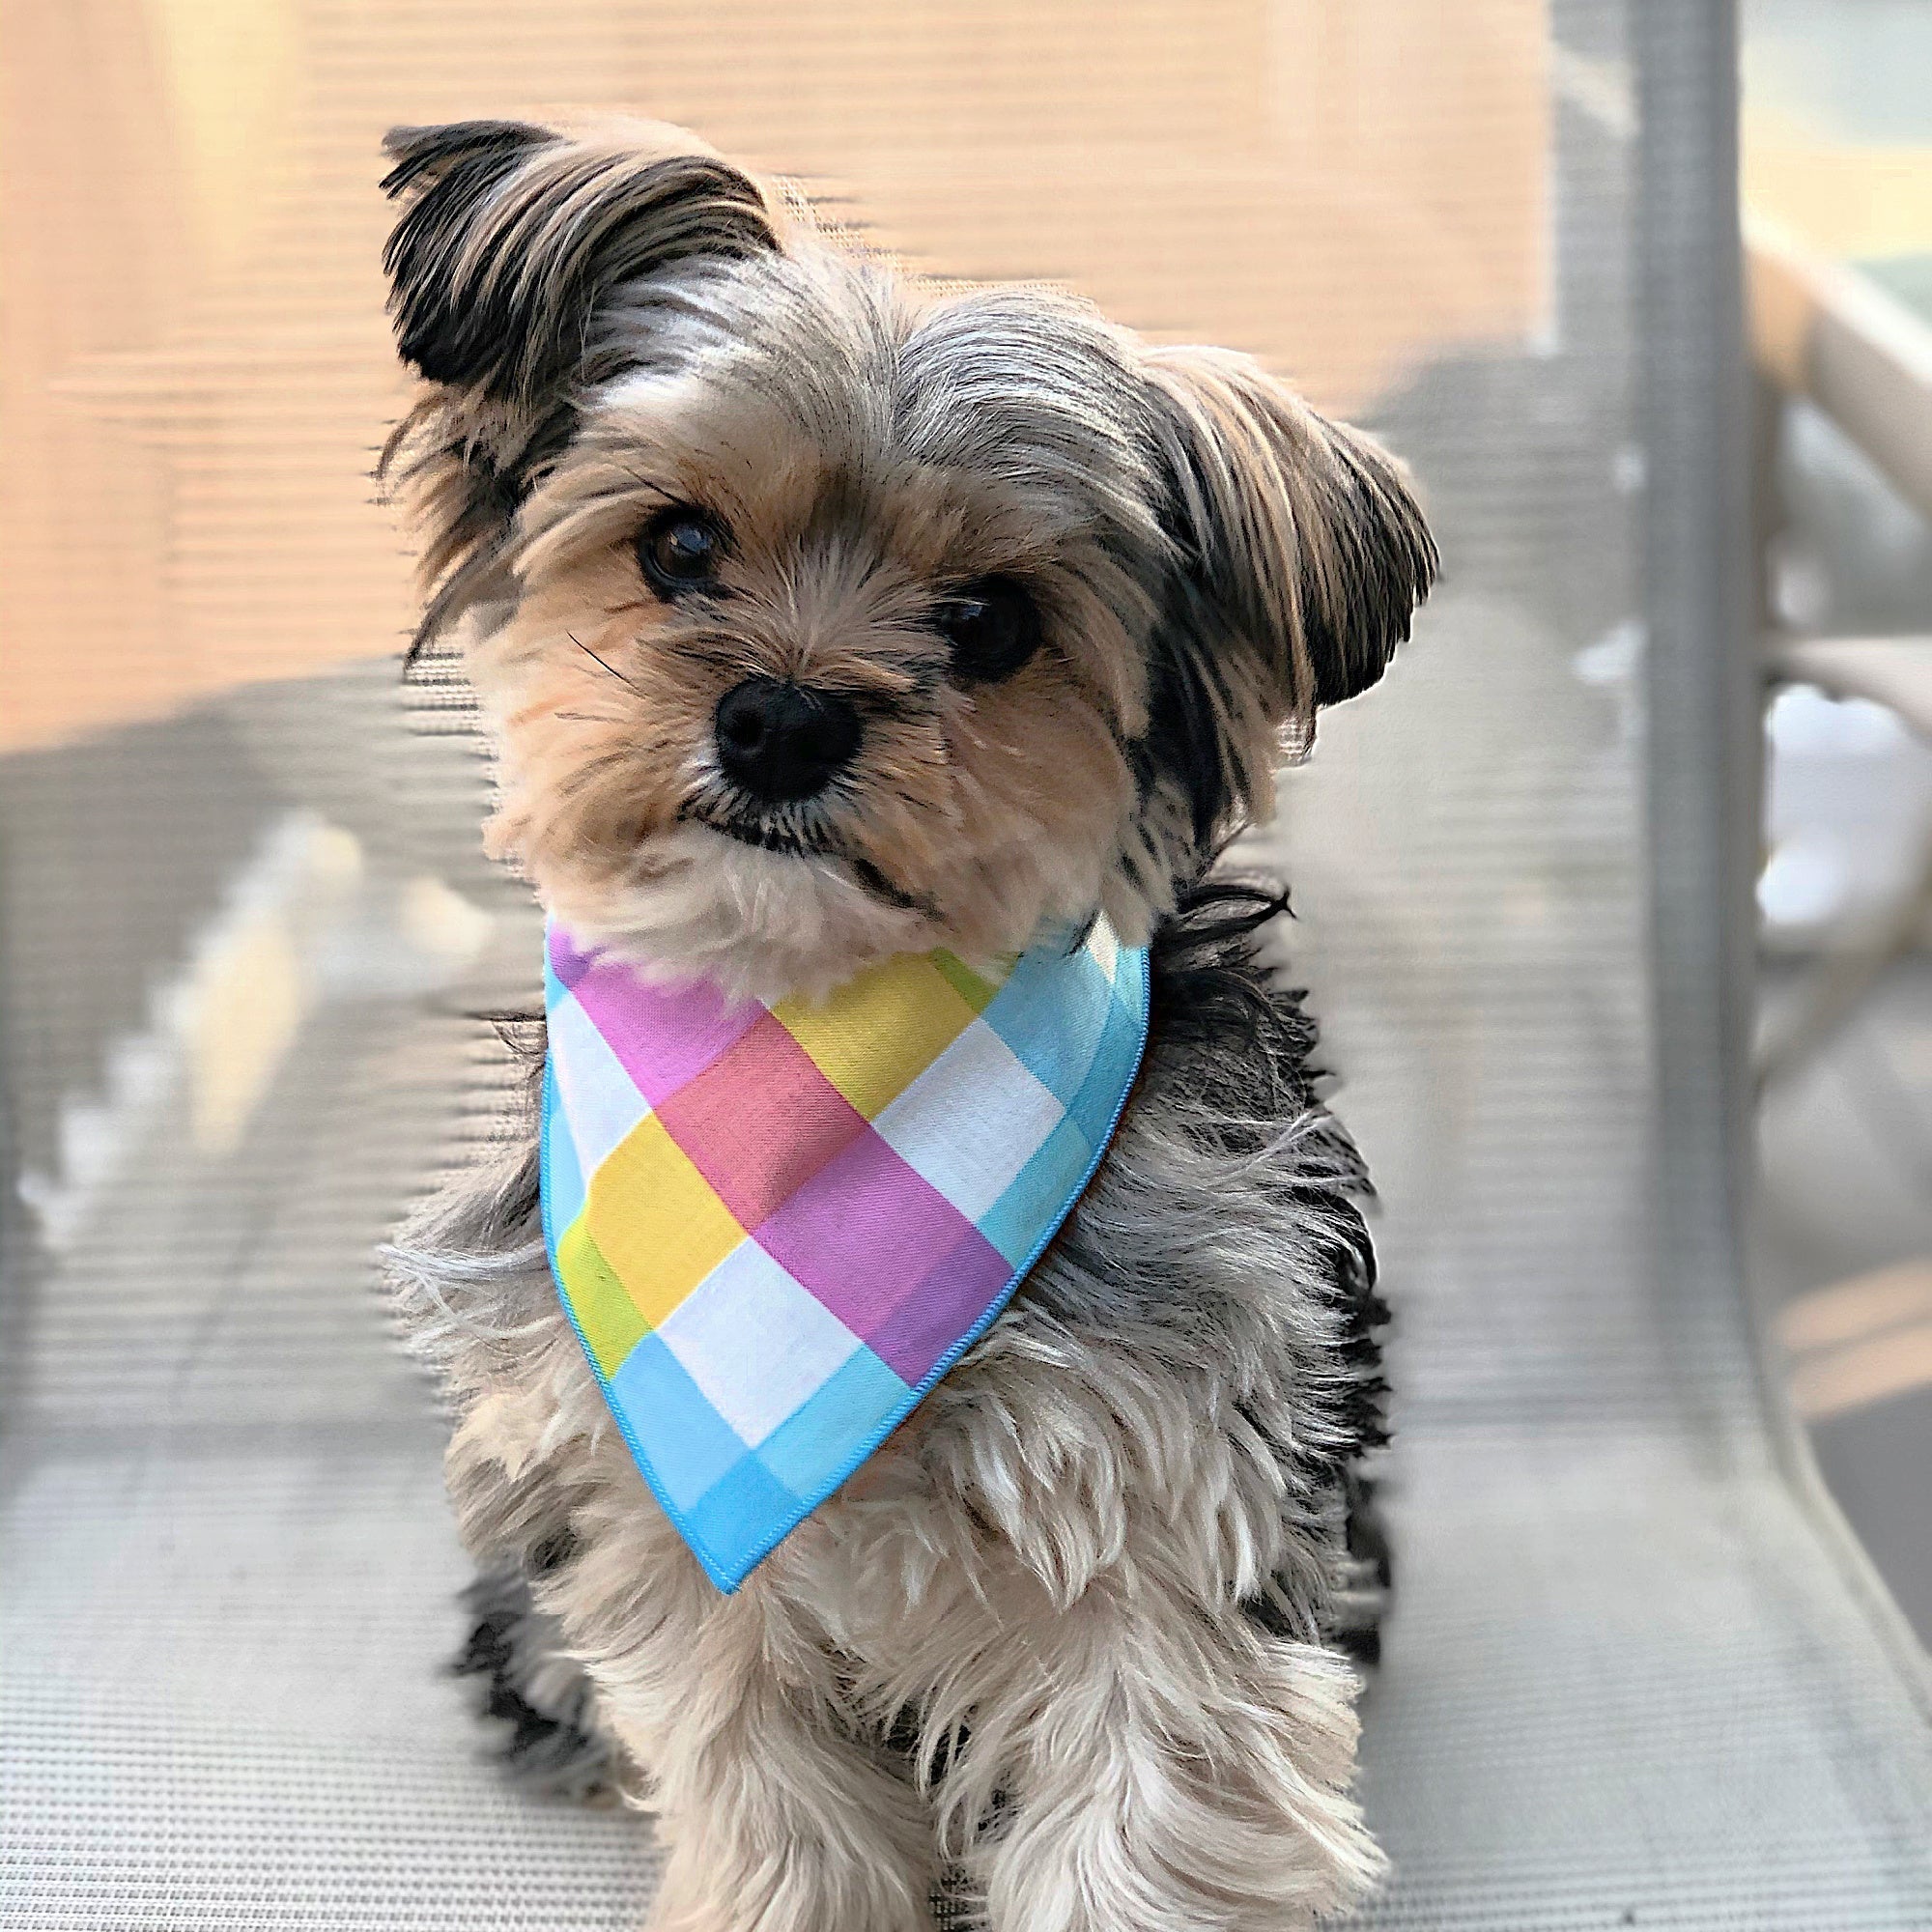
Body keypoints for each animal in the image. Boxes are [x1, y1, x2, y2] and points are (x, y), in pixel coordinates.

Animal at [377, 117, 1437, 1932]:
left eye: (995, 623)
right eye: (678, 549)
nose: (783, 717)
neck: (817, 1047)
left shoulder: (1165, 1504)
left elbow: (1151, 1809)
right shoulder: (664, 1517)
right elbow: (767, 1788)